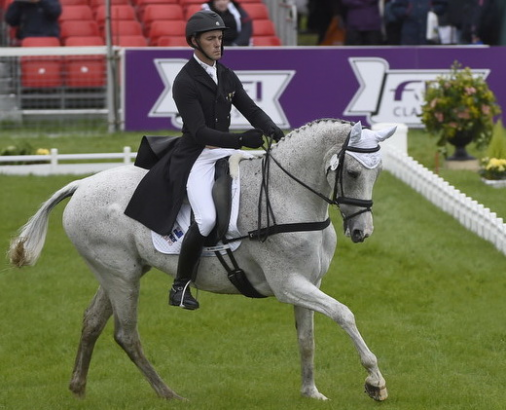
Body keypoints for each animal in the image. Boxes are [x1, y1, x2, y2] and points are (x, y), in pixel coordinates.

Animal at [7, 117, 396, 400]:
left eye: (377, 173)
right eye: (353, 173)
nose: (361, 232)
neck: (289, 197)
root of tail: (81, 185)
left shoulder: (308, 283)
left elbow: (307, 339)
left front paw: (310, 392)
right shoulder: (288, 284)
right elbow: (344, 314)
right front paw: (375, 382)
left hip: (120, 272)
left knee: (92, 322)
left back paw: (78, 388)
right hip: (121, 276)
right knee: (126, 334)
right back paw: (169, 395)